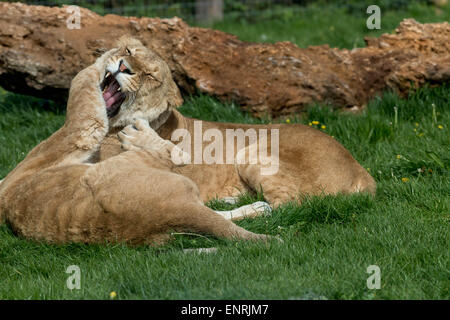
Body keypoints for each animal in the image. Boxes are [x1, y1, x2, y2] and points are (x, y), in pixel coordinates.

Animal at [99, 37, 376, 208]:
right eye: (128, 52)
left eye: (149, 76)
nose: (123, 67)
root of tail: (361, 170)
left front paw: (139, 138)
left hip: (251, 154)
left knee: (286, 206)